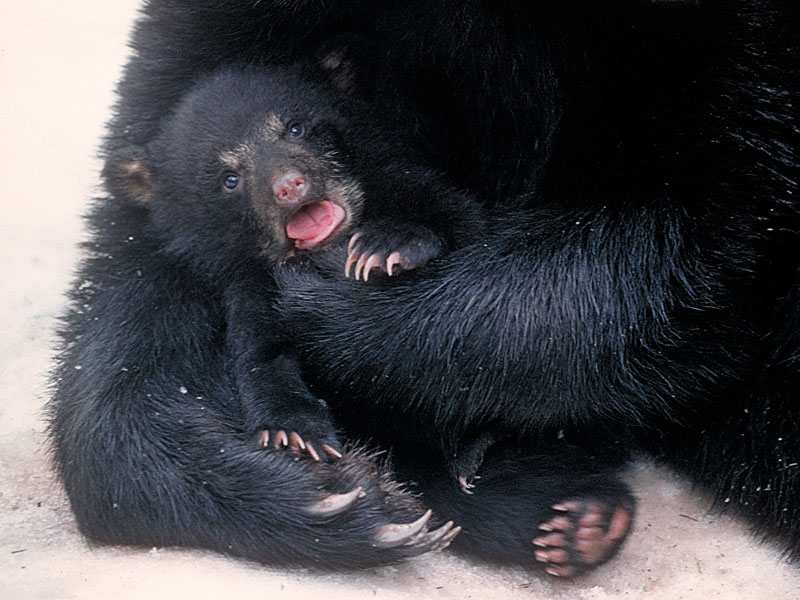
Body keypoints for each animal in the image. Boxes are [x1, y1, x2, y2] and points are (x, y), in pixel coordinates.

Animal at [49, 61, 485, 568]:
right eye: (228, 179)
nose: (288, 185)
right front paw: (300, 446)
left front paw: (388, 246)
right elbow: (261, 355)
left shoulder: (423, 190)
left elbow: (458, 223)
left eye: (294, 127)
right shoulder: (250, 289)